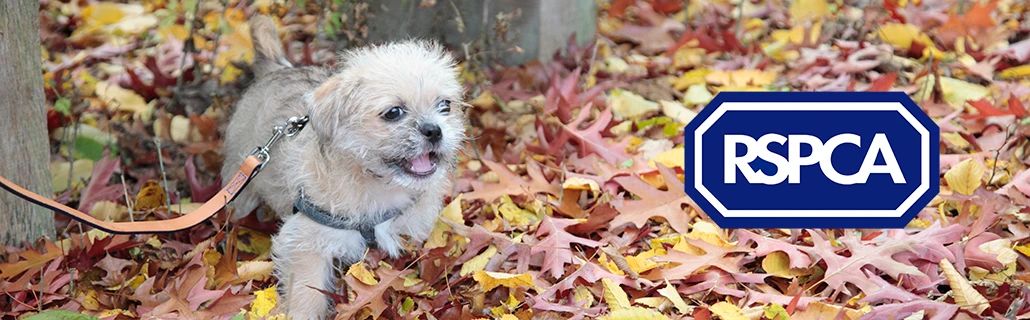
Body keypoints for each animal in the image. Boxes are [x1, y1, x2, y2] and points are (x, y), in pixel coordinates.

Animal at [222, 16, 467, 318]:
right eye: (393, 112)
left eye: (445, 105)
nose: (434, 130)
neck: (377, 183)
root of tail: (278, 68)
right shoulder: (307, 246)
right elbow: (306, 296)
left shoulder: (409, 233)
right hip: (241, 186)